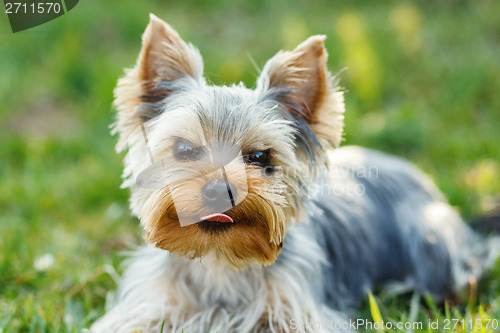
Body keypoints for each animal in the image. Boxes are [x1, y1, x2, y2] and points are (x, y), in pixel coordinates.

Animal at [90, 13, 500, 332]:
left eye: (259, 156)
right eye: (184, 149)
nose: (218, 191)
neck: (220, 260)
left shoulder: (301, 310)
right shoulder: (147, 306)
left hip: (429, 238)